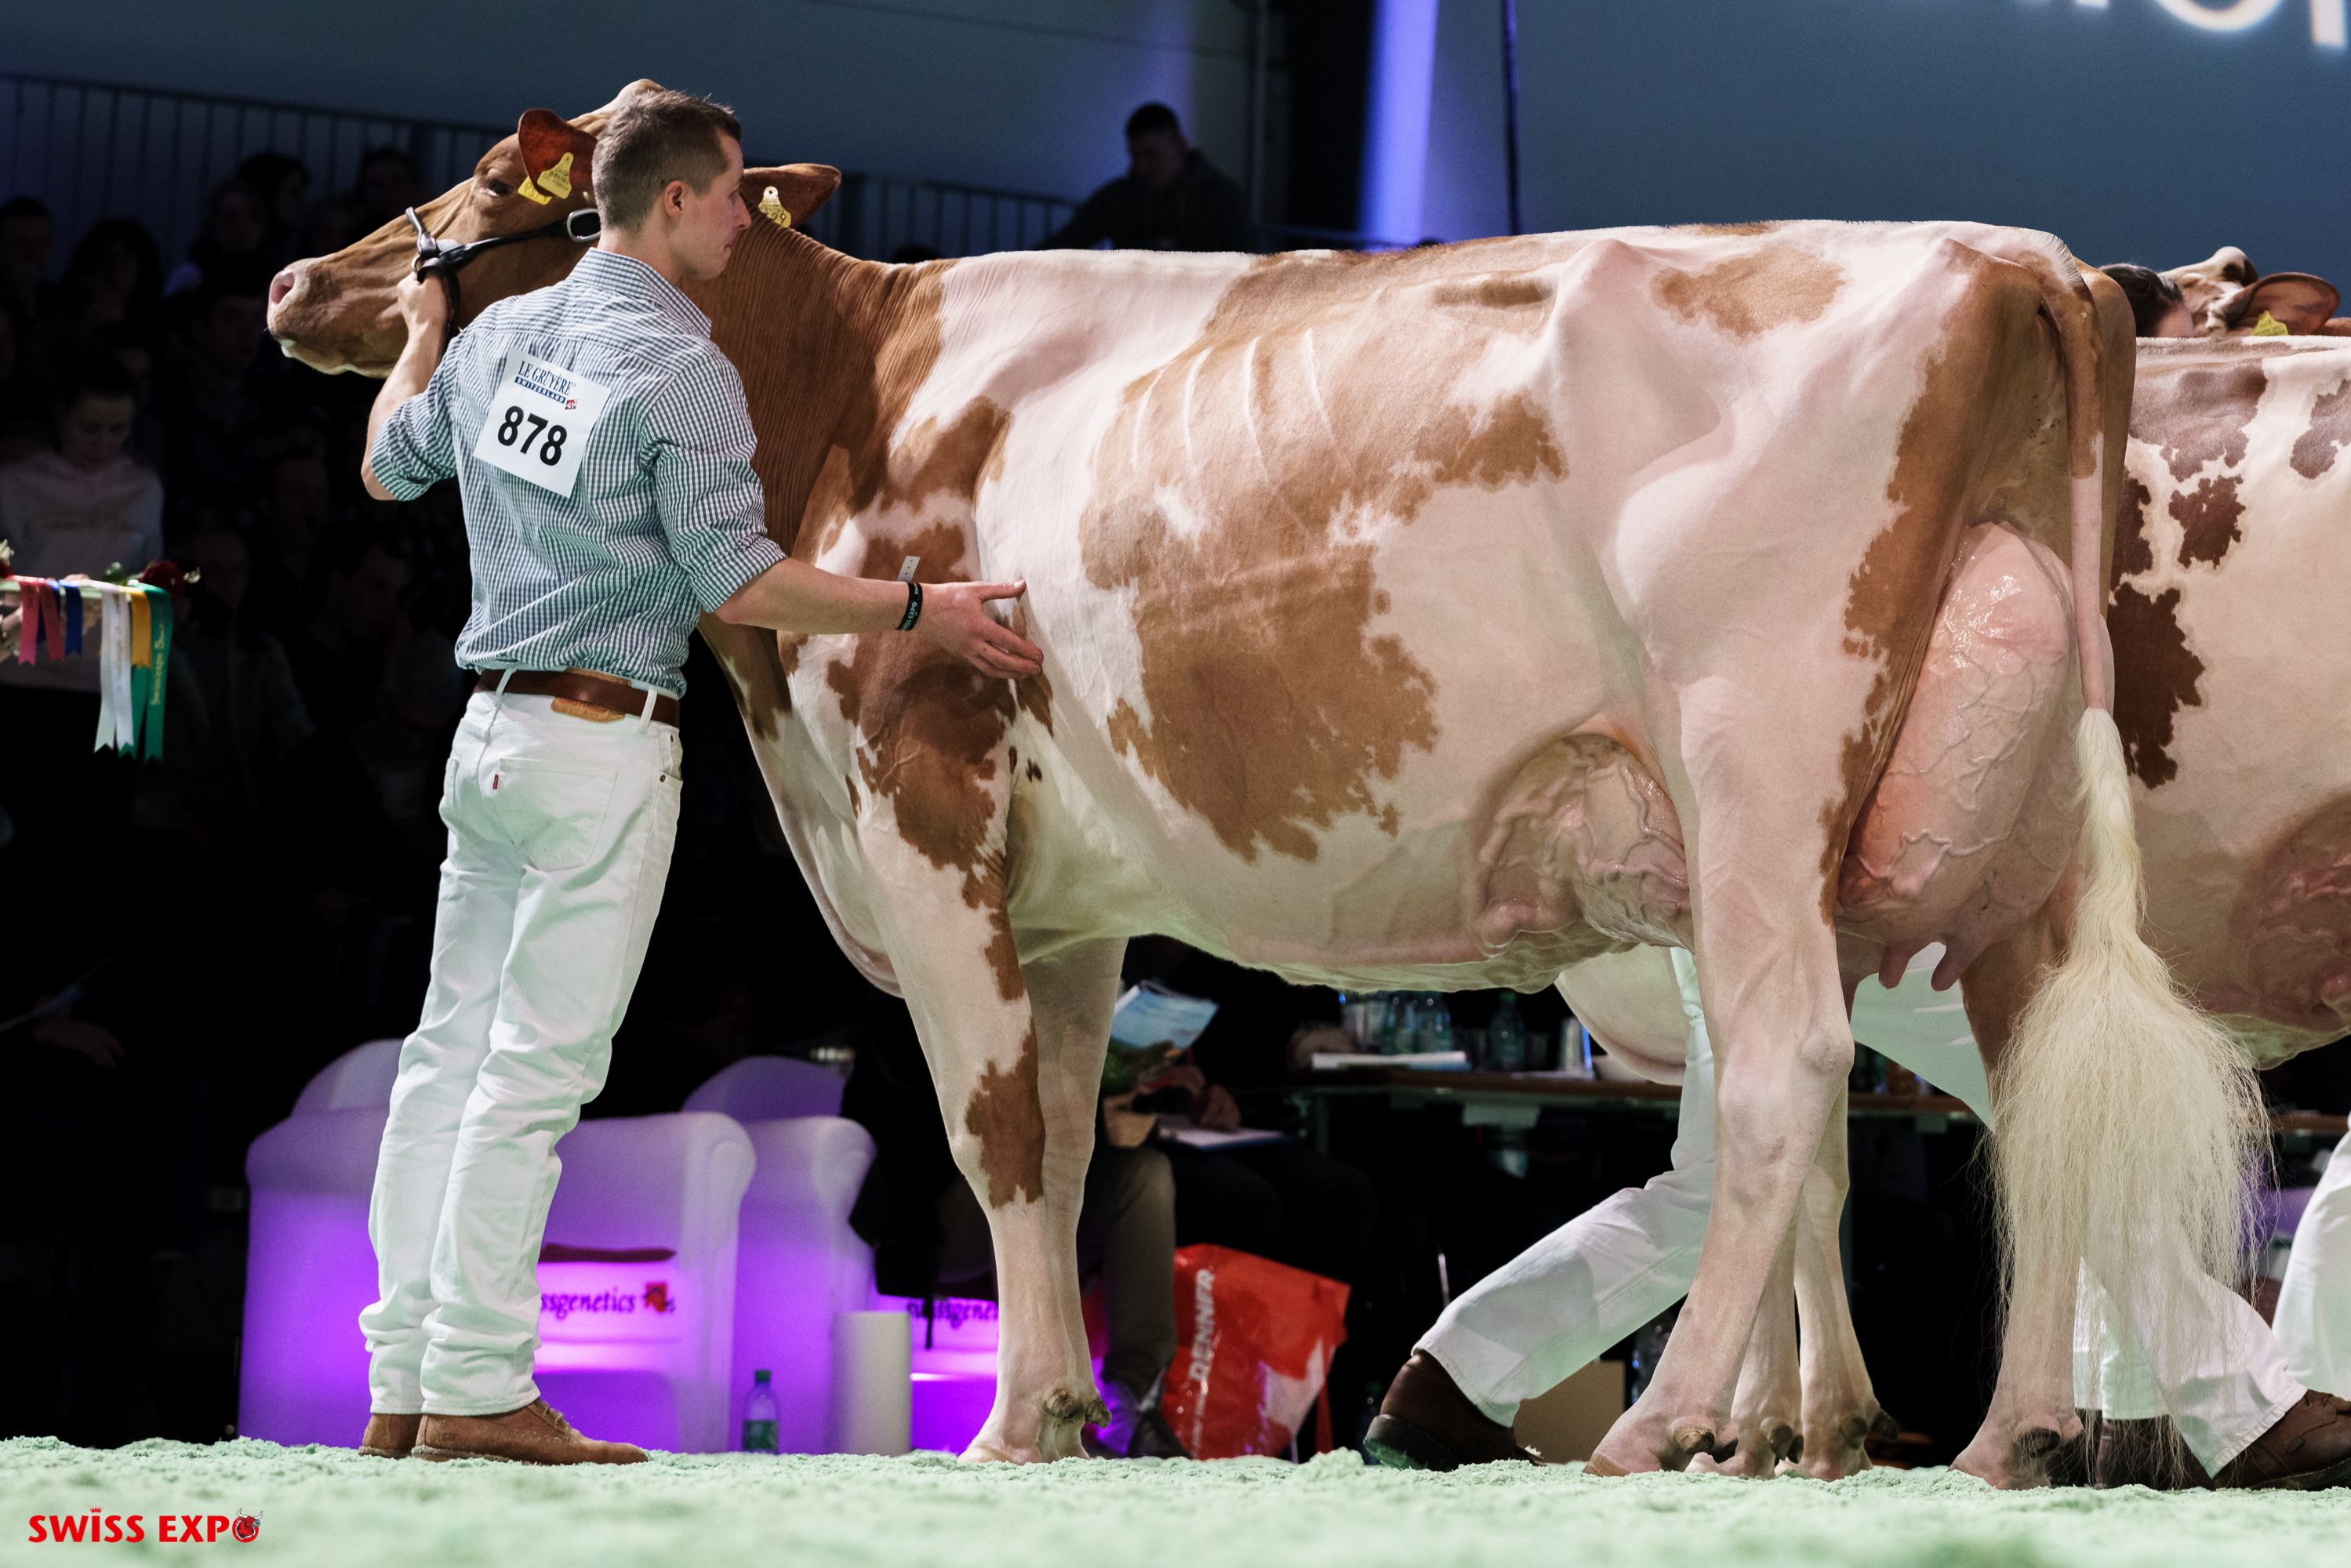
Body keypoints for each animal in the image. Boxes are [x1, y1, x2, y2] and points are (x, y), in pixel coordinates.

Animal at [269, 82, 2252, 1478]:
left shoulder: (925, 796)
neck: (844, 392)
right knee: (2022, 1095)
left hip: (1758, 762)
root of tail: (2011, 257)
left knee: (1788, 1084)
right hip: (2003, 820)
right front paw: (1057, 1407)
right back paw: (1970, 1433)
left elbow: (987, 1125)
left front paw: (1009, 1423)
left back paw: (1664, 1420)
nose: (296, 275)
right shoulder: (1058, 898)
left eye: (491, 182)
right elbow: (1064, 1141)